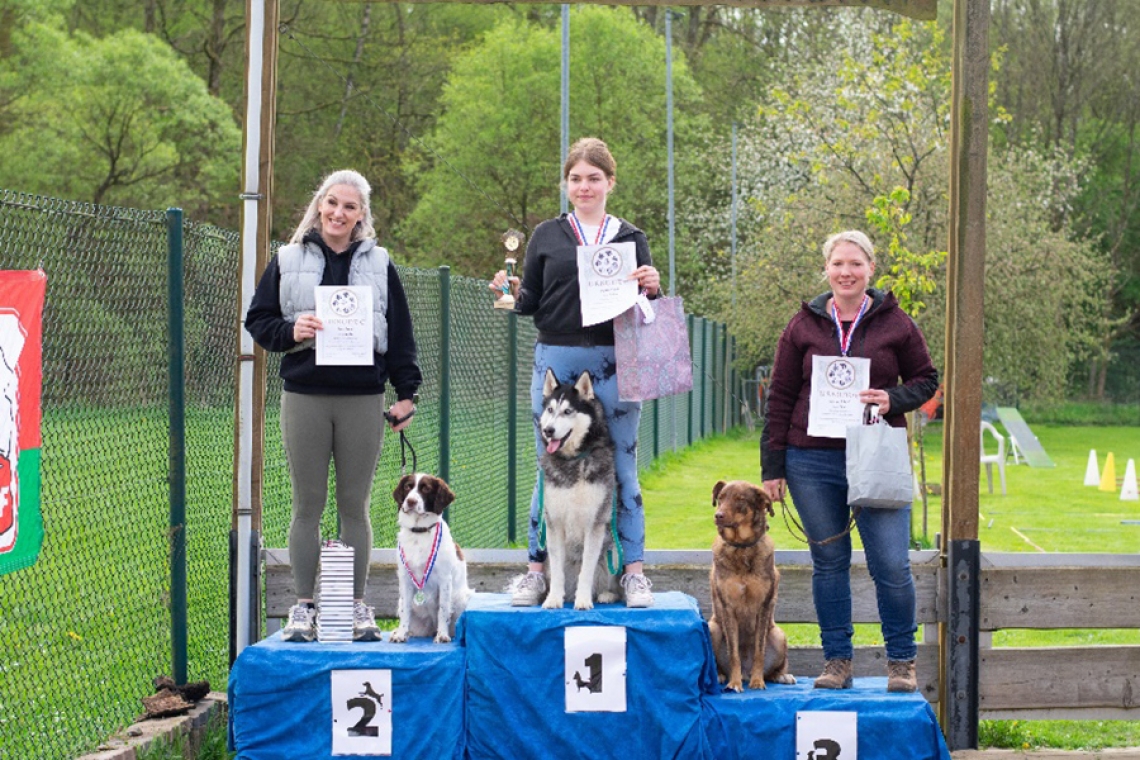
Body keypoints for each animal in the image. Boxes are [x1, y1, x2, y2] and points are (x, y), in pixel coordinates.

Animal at [535, 369, 624, 610]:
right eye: (550, 410)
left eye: (568, 411)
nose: (548, 430)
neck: (573, 461)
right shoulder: (554, 522)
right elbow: (558, 573)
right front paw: (553, 599)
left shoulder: (594, 523)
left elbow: (587, 570)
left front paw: (583, 600)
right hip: (546, 558)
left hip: (613, 550)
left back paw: (606, 594)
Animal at [706, 485, 798, 692]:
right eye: (721, 497)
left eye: (740, 499)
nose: (718, 515)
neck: (742, 547)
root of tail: (745, 672)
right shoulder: (728, 608)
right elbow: (733, 653)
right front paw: (734, 683)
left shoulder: (763, 606)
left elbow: (759, 650)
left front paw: (757, 681)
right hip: (712, 628)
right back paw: (721, 676)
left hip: (778, 635)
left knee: (773, 668)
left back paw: (781, 676)